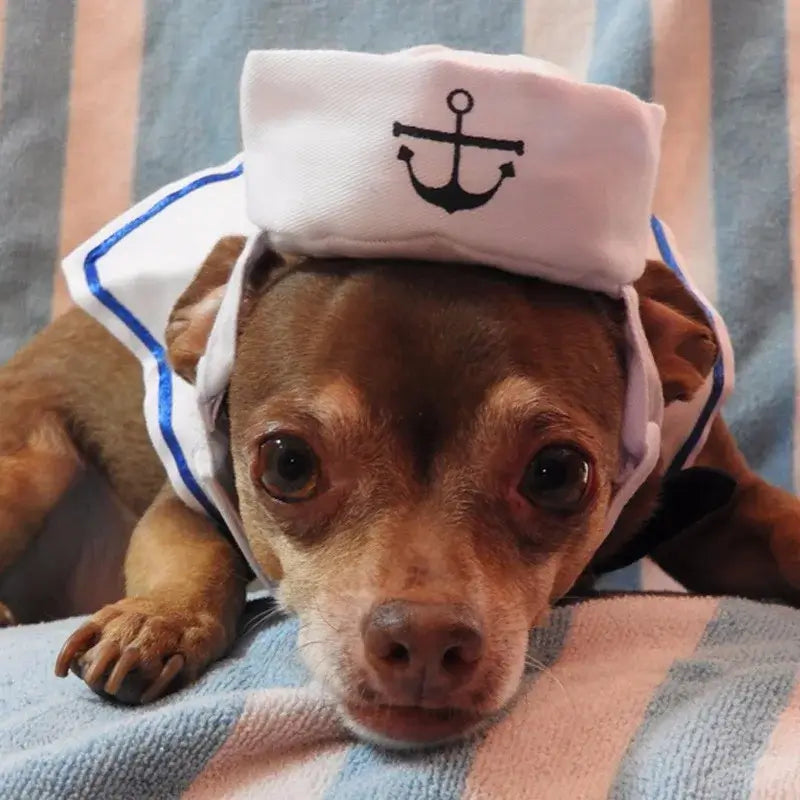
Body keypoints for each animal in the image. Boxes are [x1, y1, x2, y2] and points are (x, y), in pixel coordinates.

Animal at [1, 234, 800, 748]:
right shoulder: (188, 503)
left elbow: (781, 528)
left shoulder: (726, 511)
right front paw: (156, 621)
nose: (423, 639)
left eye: (557, 473)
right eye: (288, 465)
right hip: (32, 467)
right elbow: (195, 560)